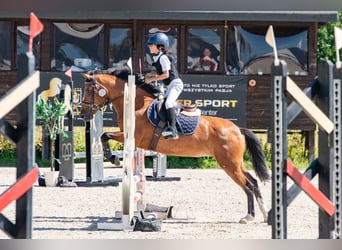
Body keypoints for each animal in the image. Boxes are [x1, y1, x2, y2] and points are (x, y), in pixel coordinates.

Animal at [80, 71, 270, 224]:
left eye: (89, 90)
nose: (82, 114)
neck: (135, 104)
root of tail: (237, 129)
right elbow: (105, 136)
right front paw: (113, 158)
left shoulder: (133, 137)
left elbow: (105, 135)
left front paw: (113, 158)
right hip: (236, 163)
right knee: (253, 182)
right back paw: (265, 215)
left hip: (228, 164)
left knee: (248, 186)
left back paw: (249, 216)